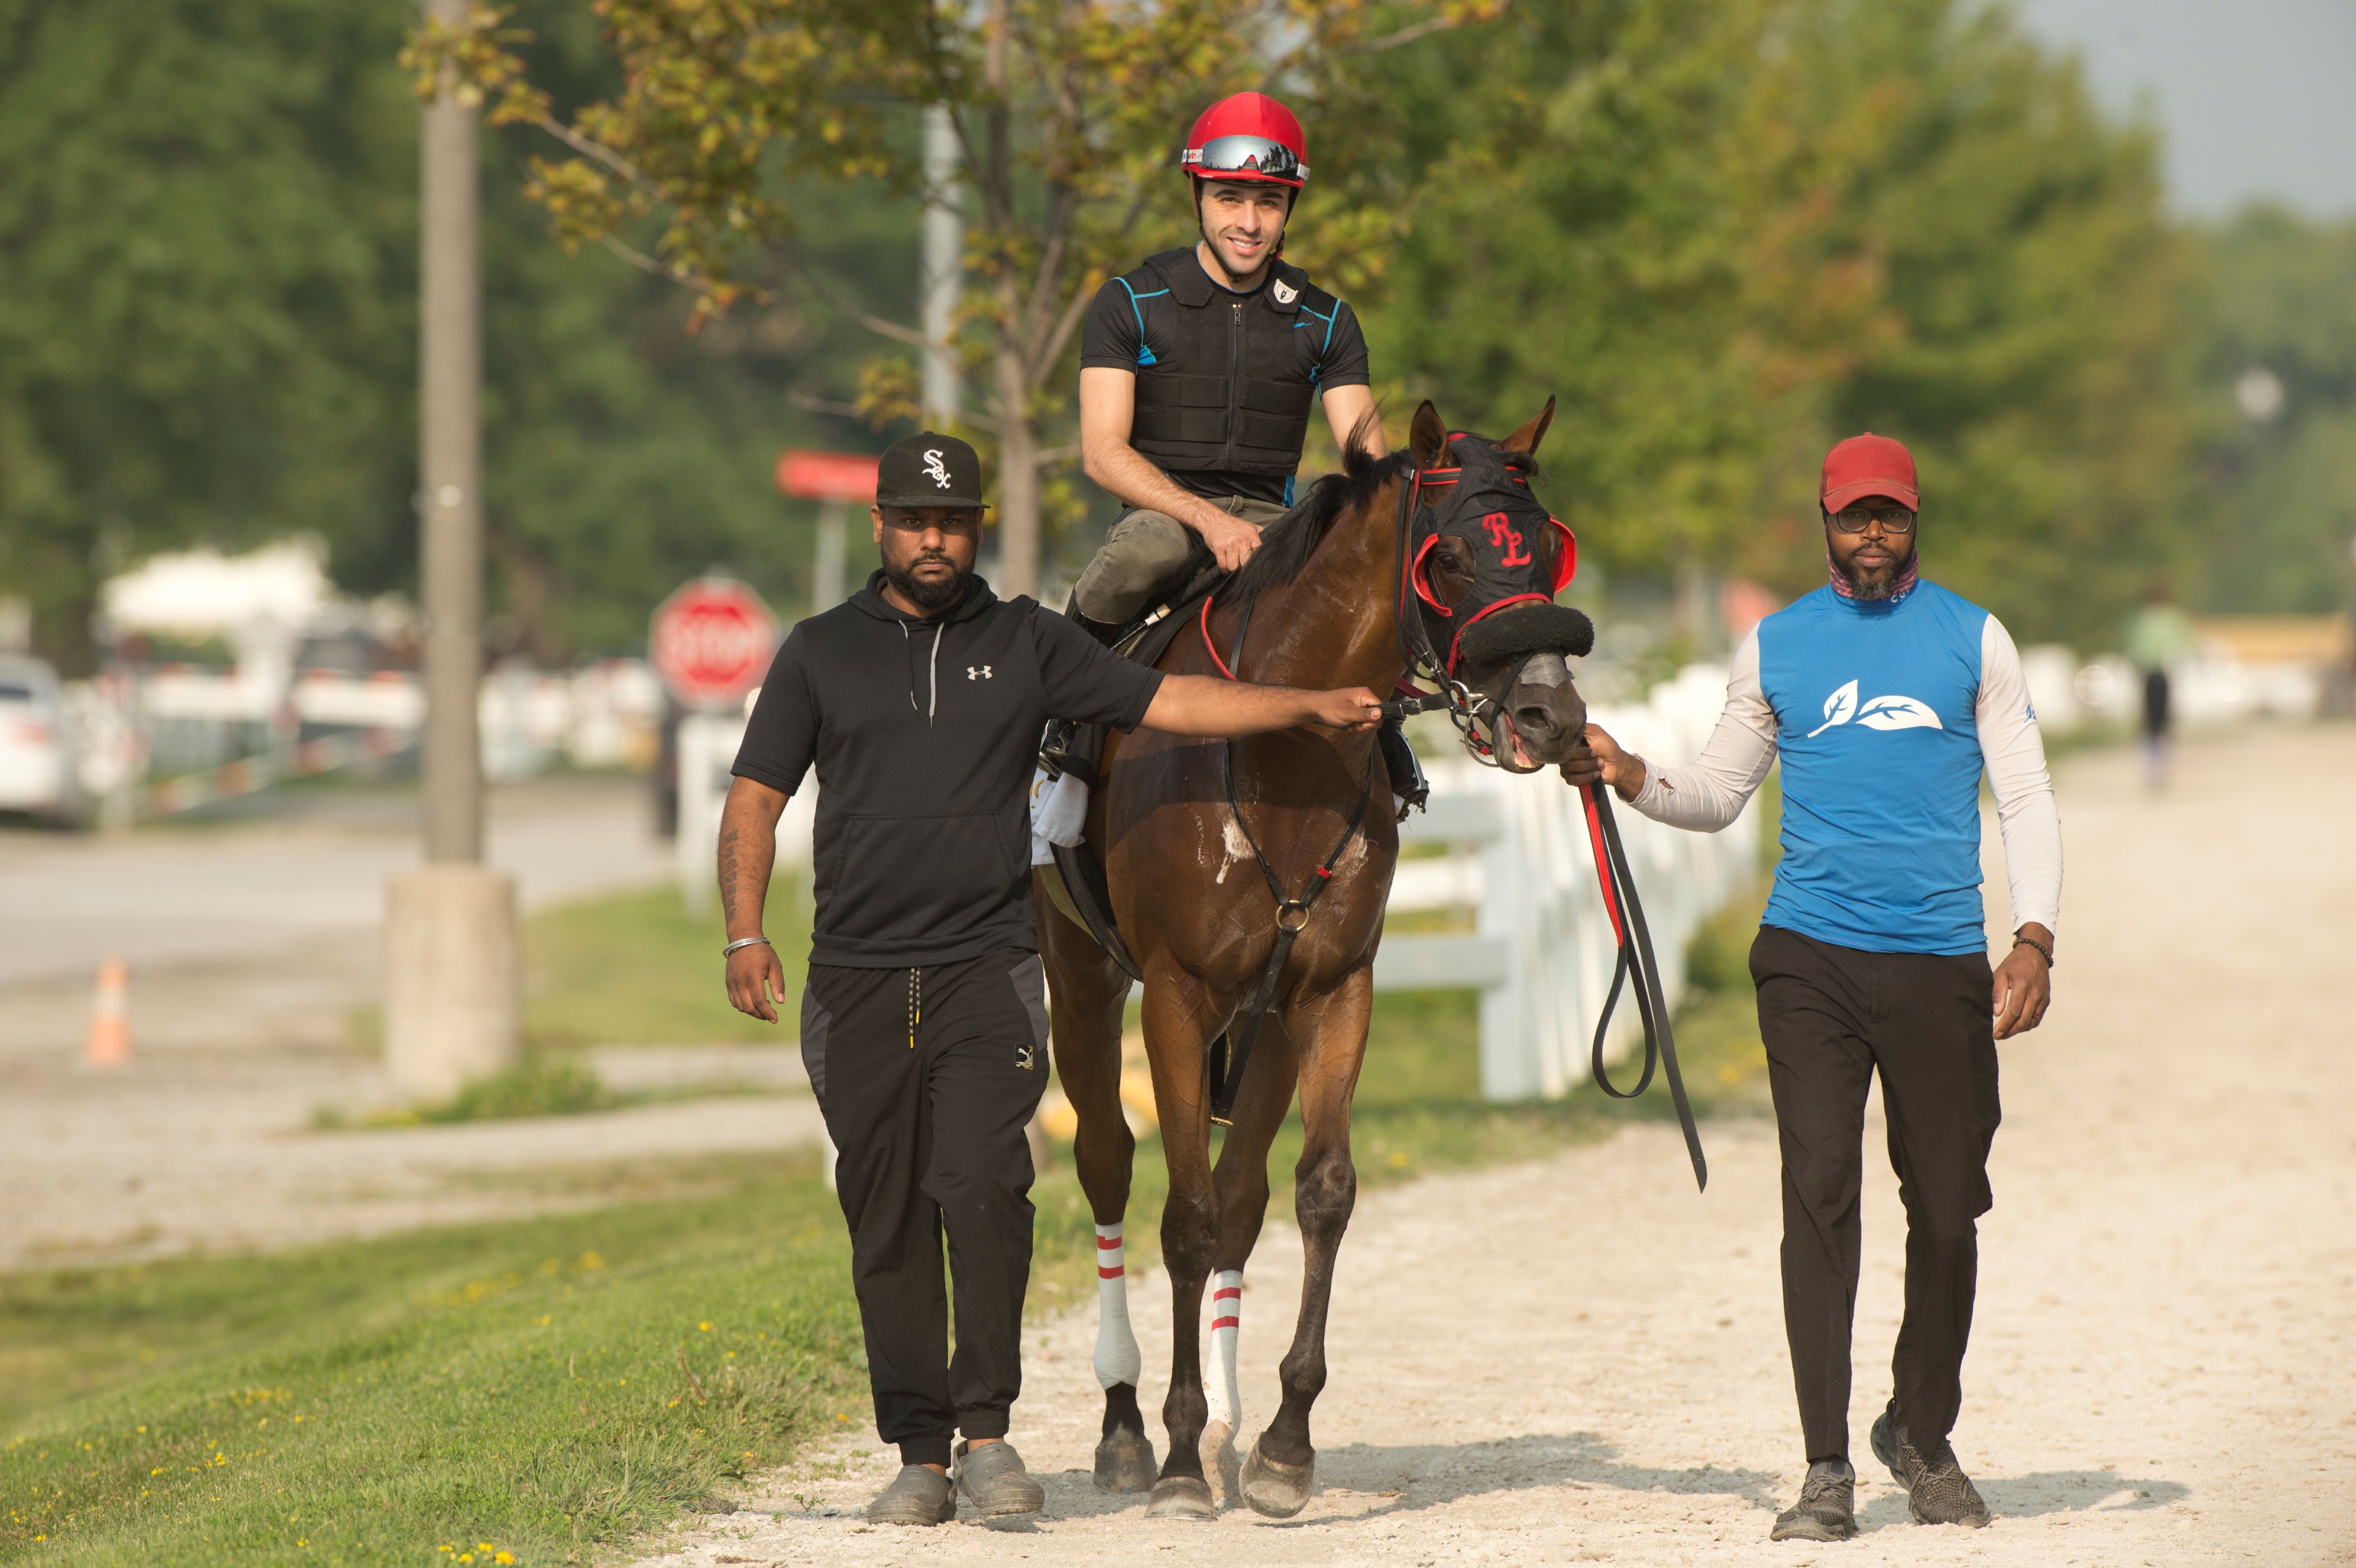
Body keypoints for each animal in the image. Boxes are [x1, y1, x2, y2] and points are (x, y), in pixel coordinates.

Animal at [1041, 398, 1593, 1509]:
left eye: (1544, 548)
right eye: (1449, 557)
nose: (1549, 714)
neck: (1280, 743)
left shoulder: (1330, 991)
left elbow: (1317, 1192)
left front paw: (1282, 1441)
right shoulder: (1175, 998)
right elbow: (1183, 1216)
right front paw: (1177, 1449)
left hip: (1264, 1028)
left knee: (1244, 1196)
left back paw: (1227, 1422)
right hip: (1080, 982)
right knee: (1109, 1162)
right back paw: (1127, 1424)